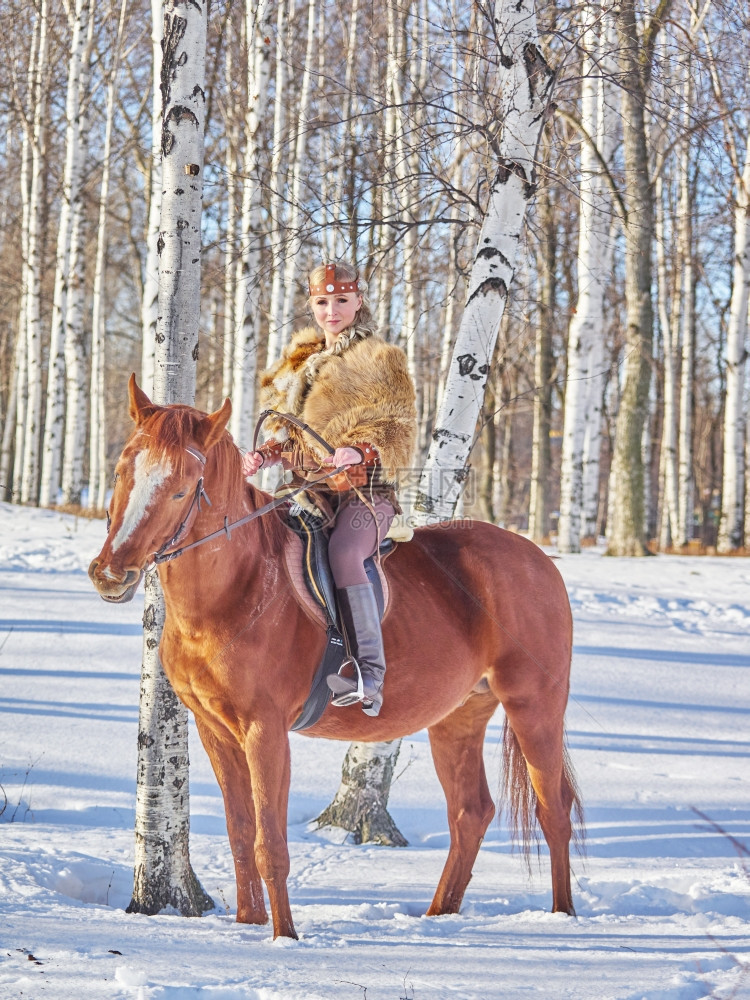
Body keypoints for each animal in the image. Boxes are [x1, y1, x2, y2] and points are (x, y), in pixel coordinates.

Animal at [86, 378, 580, 940]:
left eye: (181, 487)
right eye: (122, 470)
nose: (110, 574)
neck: (235, 590)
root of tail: (538, 559)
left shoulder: (266, 731)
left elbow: (270, 844)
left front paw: (284, 936)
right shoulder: (216, 730)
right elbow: (240, 833)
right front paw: (248, 924)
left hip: (534, 707)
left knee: (553, 810)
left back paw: (563, 916)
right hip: (457, 718)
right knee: (470, 813)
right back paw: (438, 916)